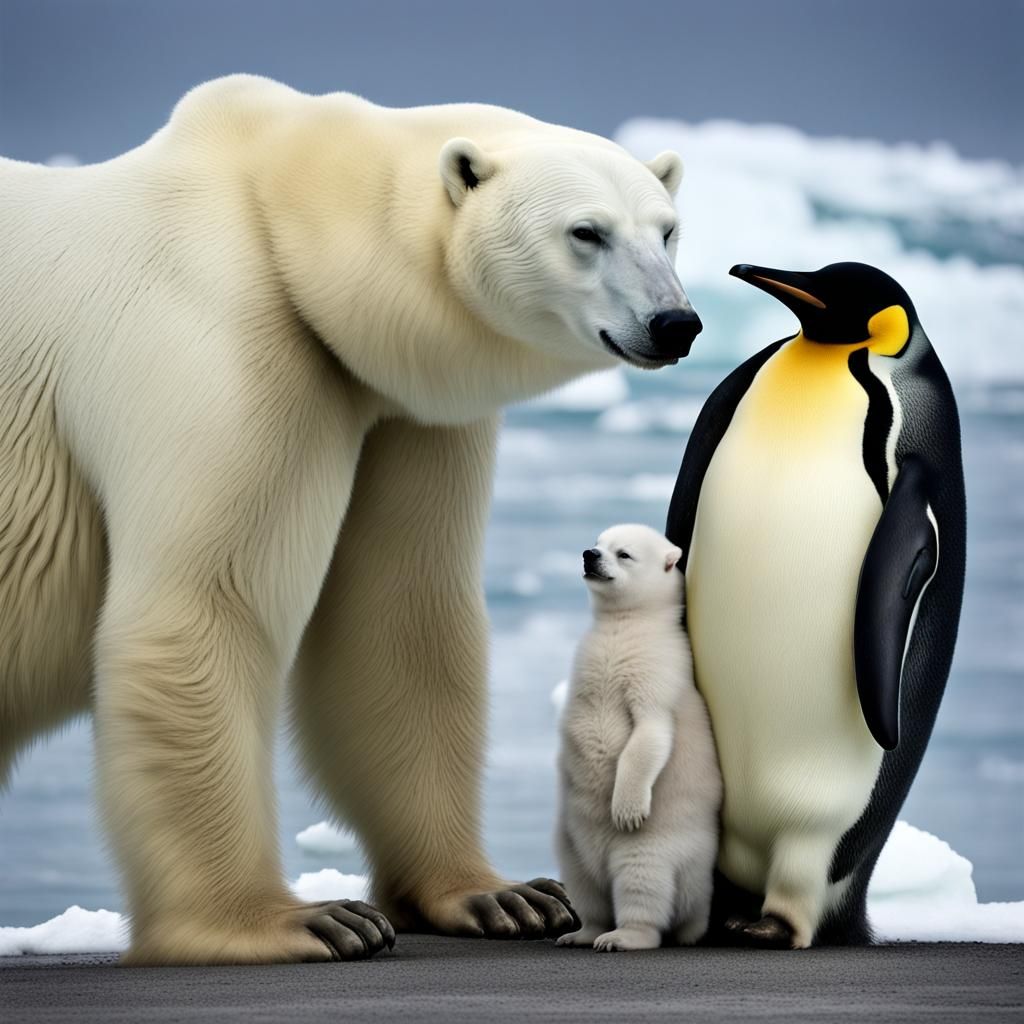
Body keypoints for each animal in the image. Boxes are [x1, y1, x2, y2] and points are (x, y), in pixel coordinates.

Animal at [0, 74, 701, 965]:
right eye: (587, 231)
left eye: (667, 229)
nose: (677, 323)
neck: (277, 213)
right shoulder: (224, 342)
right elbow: (207, 602)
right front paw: (295, 920)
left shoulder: (393, 405)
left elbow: (396, 615)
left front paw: (503, 895)